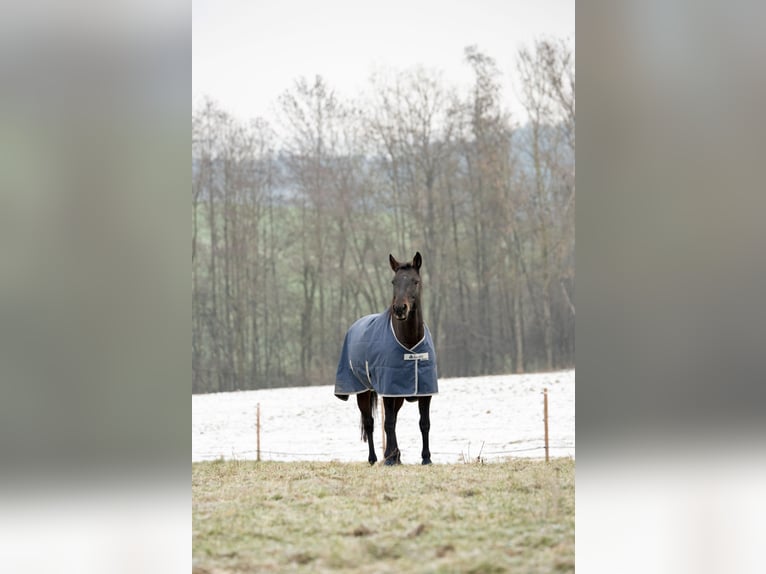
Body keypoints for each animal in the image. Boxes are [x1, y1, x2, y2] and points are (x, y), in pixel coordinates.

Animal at [334, 252, 438, 465]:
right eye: (394, 282)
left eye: (415, 281)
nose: (399, 309)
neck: (409, 342)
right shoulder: (389, 390)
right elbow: (388, 424)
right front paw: (390, 459)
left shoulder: (424, 391)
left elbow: (424, 423)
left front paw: (426, 458)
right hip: (363, 391)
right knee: (370, 423)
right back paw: (375, 458)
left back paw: (395, 455)